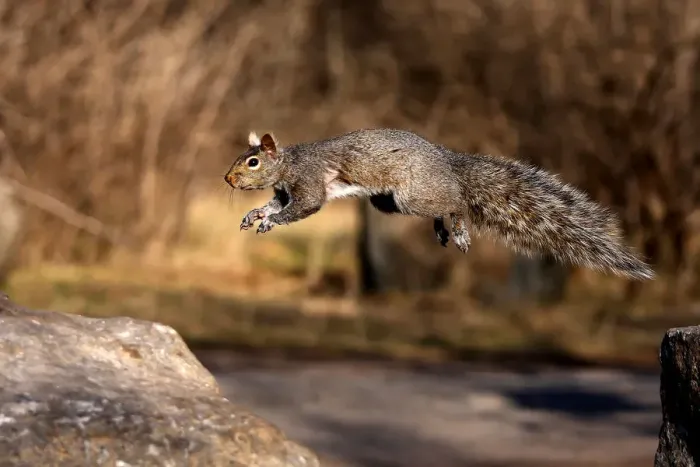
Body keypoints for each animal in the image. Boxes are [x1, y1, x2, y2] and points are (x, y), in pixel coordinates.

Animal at [224, 128, 654, 280]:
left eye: (253, 161)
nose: (228, 179)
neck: (288, 164)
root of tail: (449, 163)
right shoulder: (284, 191)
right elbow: (275, 205)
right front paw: (256, 214)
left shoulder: (310, 183)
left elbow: (304, 207)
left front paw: (271, 222)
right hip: (389, 203)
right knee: (443, 206)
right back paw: (442, 229)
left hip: (410, 194)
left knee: (458, 200)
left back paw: (459, 227)